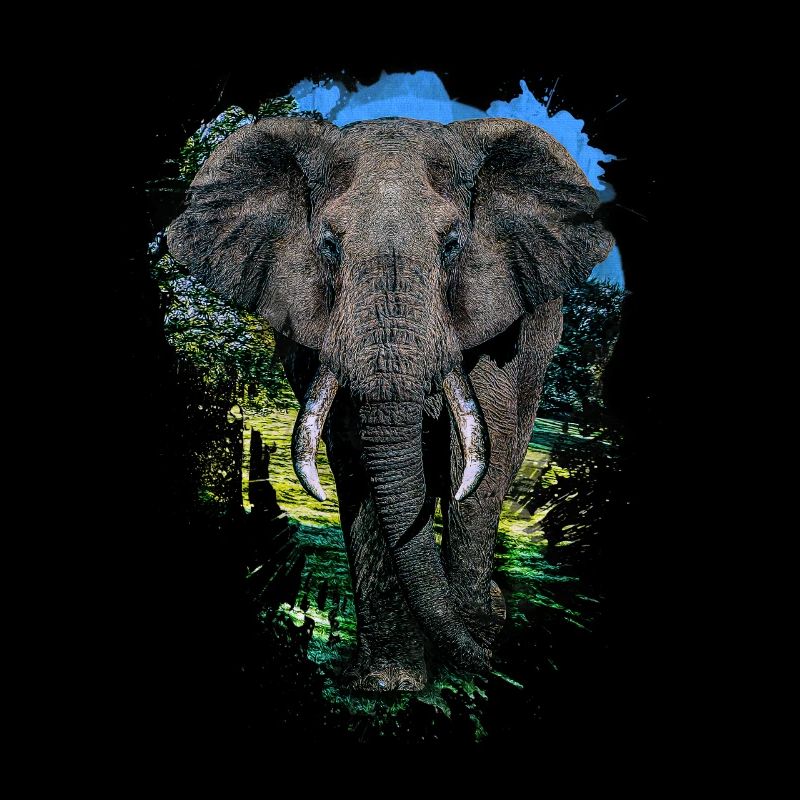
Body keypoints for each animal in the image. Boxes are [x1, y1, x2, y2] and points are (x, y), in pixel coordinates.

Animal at [167, 116, 613, 691]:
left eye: (452, 245)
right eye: (328, 246)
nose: (494, 641)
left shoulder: (500, 314)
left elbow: (477, 455)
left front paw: (469, 649)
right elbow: (354, 458)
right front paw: (388, 684)